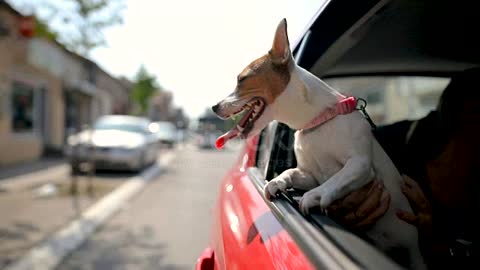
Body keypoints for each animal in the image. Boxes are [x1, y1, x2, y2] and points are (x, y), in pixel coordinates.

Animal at [212, 19, 426, 270]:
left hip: (414, 252)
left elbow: (336, 179)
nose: (214, 107)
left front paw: (315, 196)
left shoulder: (360, 166)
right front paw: (276, 181)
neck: (317, 122)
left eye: (241, 80)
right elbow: (291, 172)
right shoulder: (309, 175)